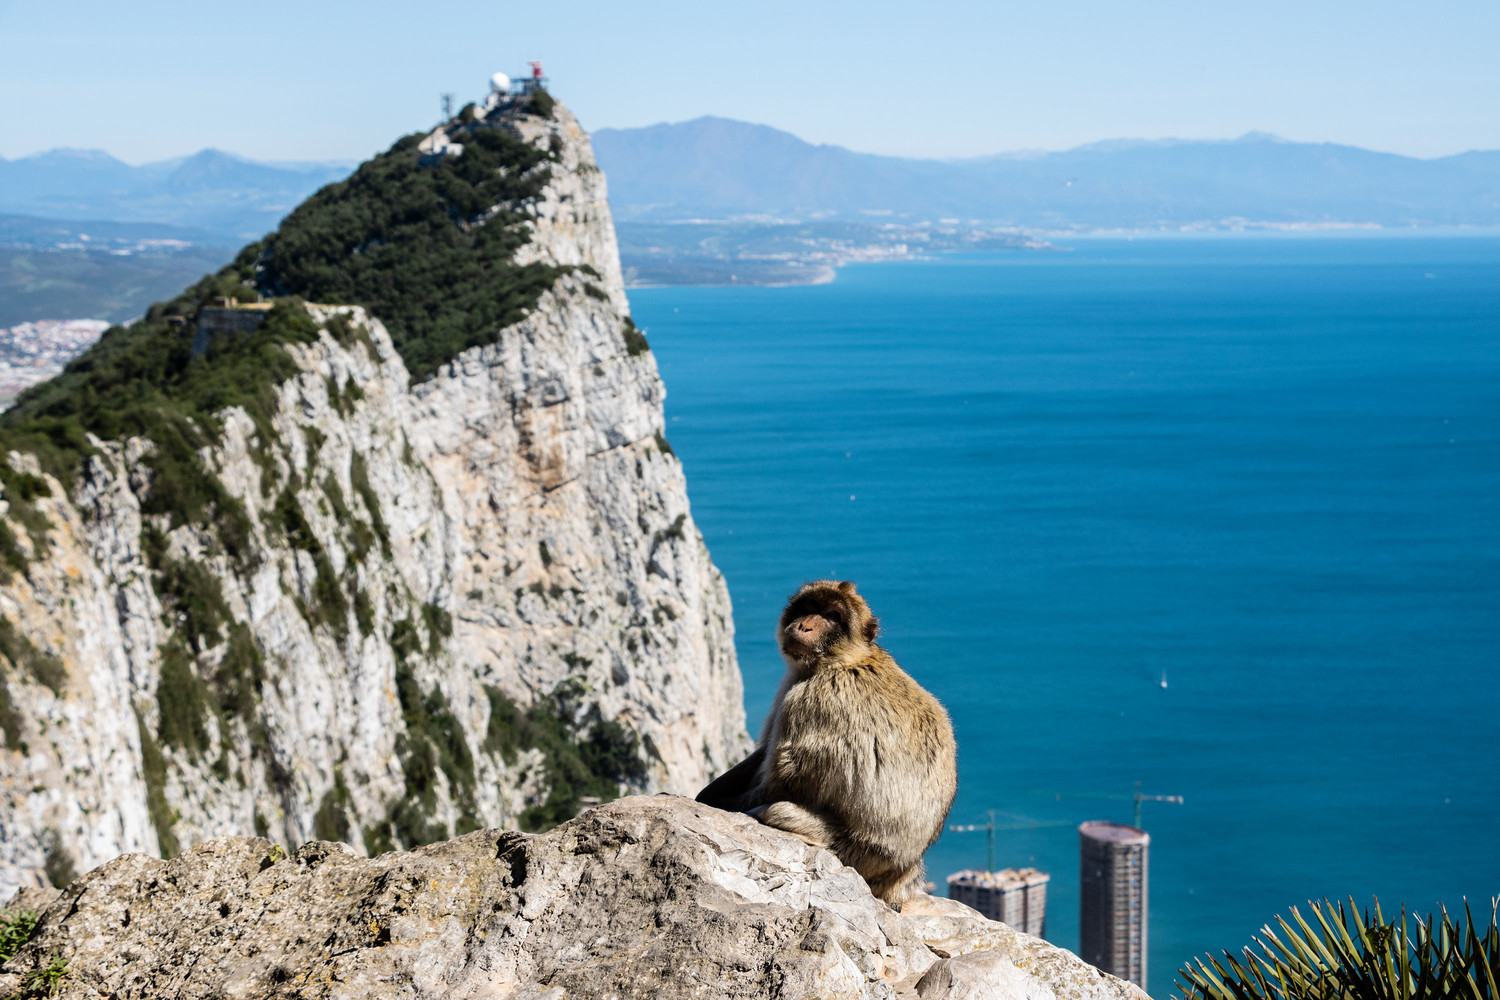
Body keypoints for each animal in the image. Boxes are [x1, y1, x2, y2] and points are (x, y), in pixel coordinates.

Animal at [696, 581, 954, 911]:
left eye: (832, 616)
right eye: (810, 608)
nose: (805, 625)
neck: (842, 660)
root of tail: (904, 871)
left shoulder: (807, 699)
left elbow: (784, 780)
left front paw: (716, 802)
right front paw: (710, 791)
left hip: (856, 852)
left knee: (778, 810)